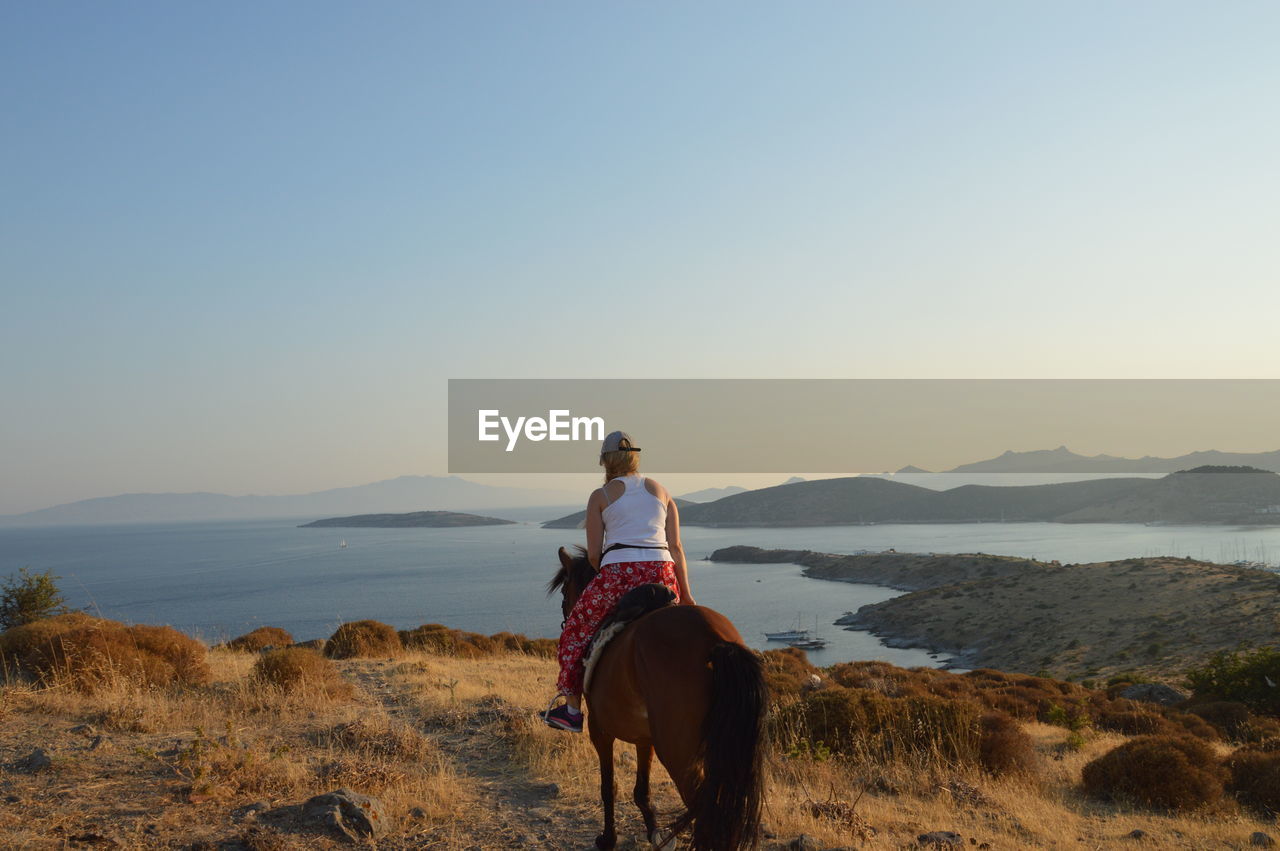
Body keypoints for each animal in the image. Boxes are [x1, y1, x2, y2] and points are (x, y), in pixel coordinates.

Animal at [545, 545, 762, 849]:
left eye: (565, 592)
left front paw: (608, 838)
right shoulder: (644, 736)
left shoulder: (600, 730)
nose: (566, 618)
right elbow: (641, 790)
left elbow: (608, 787)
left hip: (678, 753)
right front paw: (654, 832)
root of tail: (716, 641)